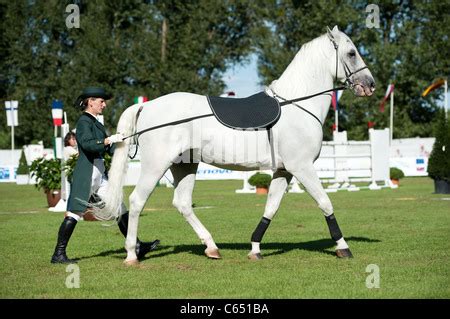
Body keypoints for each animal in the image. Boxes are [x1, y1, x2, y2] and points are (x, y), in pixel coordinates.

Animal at [96, 26, 374, 264]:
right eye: (352, 53)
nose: (370, 85)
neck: (296, 104)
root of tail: (147, 105)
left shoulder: (284, 170)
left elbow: (271, 207)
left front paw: (255, 248)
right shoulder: (302, 167)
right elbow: (325, 202)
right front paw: (343, 247)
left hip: (184, 165)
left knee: (182, 203)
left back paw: (211, 247)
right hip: (156, 165)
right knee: (136, 201)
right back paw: (132, 254)